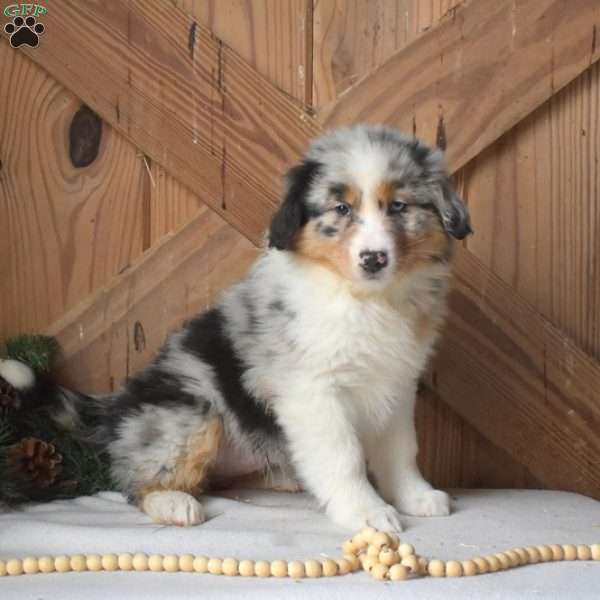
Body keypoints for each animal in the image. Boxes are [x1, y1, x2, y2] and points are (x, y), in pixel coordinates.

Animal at [1, 124, 468, 532]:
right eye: (341, 209)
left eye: (399, 207)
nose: (374, 259)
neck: (365, 299)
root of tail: (118, 404)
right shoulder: (313, 392)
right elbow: (344, 456)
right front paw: (367, 512)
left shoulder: (395, 385)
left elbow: (401, 450)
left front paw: (416, 496)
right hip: (190, 411)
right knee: (135, 480)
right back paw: (173, 502)